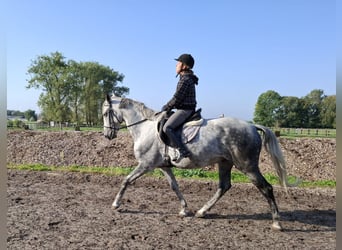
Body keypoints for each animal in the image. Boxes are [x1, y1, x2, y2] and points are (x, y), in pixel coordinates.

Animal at [102, 94, 294, 230]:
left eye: (105, 113)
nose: (107, 135)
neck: (144, 128)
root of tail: (252, 126)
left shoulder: (145, 165)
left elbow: (126, 180)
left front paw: (116, 204)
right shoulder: (164, 167)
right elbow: (174, 186)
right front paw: (184, 209)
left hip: (247, 166)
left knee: (266, 188)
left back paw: (276, 223)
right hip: (225, 162)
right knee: (224, 186)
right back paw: (202, 211)